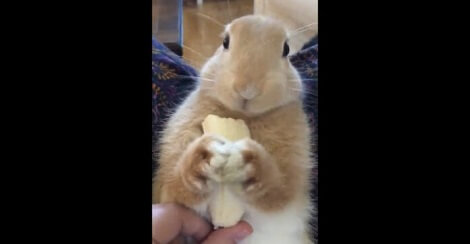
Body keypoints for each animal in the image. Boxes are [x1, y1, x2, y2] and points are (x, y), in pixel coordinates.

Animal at [154, 15, 316, 244]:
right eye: (225, 42)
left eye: (285, 49)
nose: (247, 89)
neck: (242, 116)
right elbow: (180, 187)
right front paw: (204, 156)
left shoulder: (292, 173)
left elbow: (278, 190)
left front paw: (250, 161)